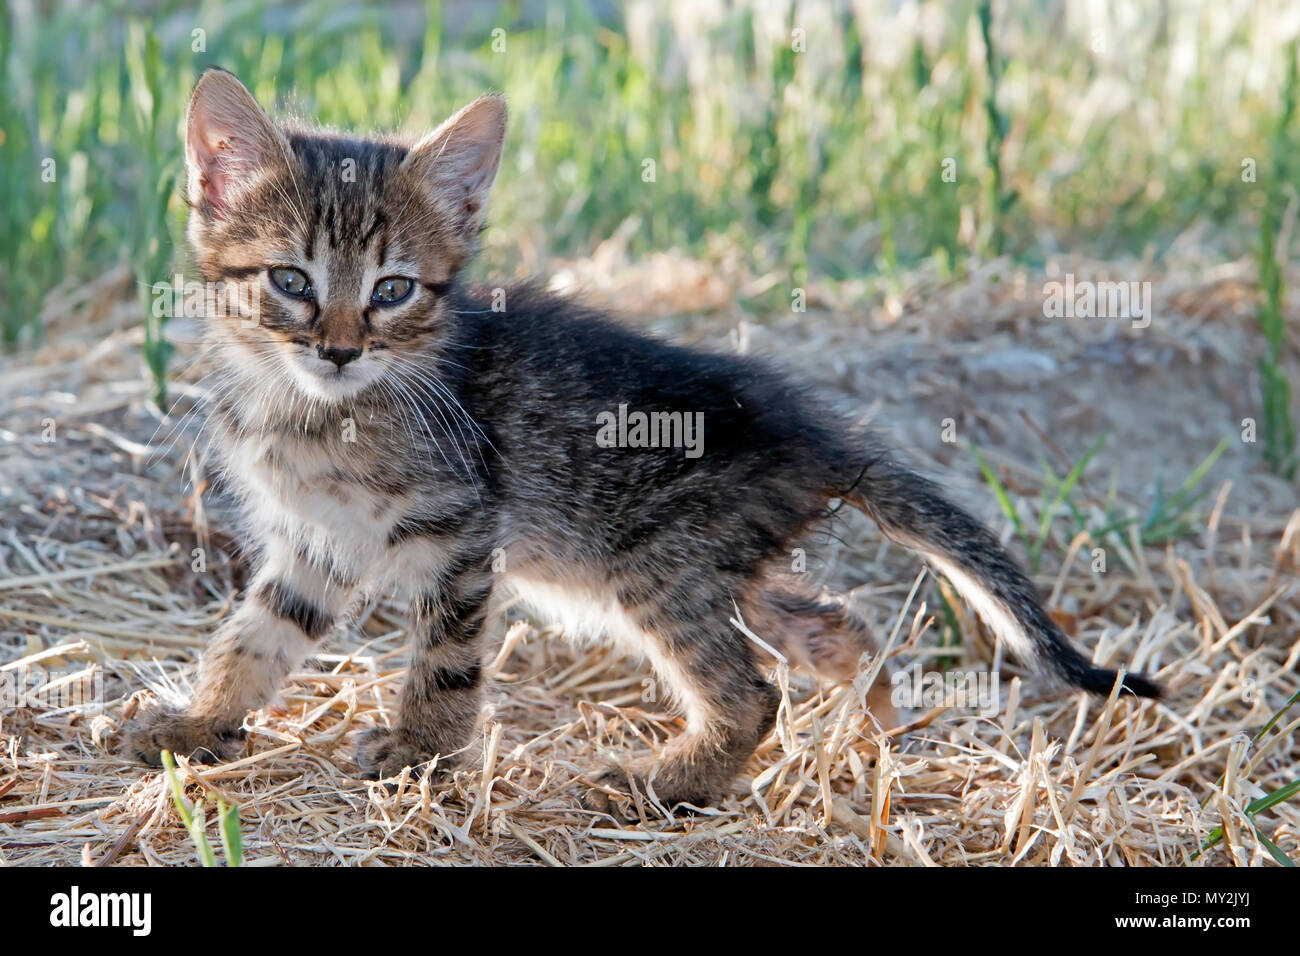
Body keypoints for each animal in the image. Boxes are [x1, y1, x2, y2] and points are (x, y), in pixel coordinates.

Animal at [124, 69, 1159, 816]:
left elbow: (446, 659)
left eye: (393, 291)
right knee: (839, 629)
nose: (339, 349)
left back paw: (669, 783)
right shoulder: (314, 544)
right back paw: (869, 745)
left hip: (655, 568)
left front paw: (420, 753)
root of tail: (815, 435)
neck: (312, 411)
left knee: (752, 691)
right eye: (292, 282)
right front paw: (200, 721)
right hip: (719, 572)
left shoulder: (460, 532)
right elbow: (254, 638)